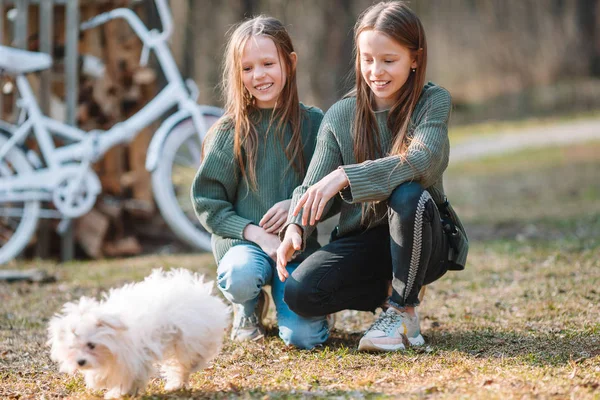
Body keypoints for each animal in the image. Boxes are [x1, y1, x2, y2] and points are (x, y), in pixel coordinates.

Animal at [47, 268, 229, 398]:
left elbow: (129, 376)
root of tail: (195, 287)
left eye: (91, 345)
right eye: (71, 348)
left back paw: (180, 378)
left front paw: (121, 392)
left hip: (187, 338)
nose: (80, 362)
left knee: (185, 361)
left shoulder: (132, 358)